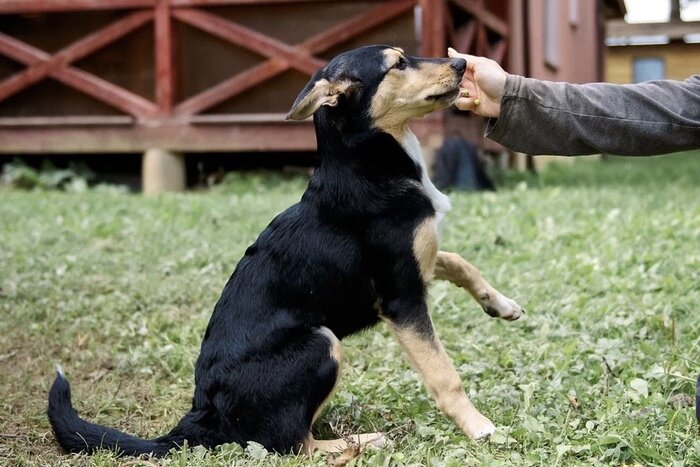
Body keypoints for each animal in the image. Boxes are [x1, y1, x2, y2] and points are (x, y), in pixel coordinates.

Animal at [47, 45, 520, 458]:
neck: (366, 166)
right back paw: (362, 441)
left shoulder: (417, 263)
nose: (462, 63)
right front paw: (479, 427)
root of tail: (201, 416)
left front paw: (500, 304)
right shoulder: (401, 296)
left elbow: (459, 262)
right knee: (290, 442)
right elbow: (444, 374)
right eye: (398, 63)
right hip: (320, 343)